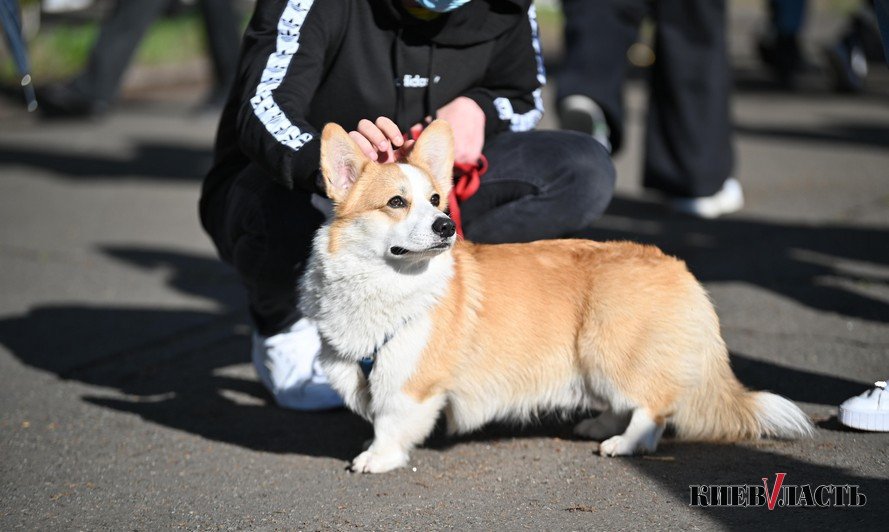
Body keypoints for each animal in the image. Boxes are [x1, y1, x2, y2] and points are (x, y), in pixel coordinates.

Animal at [300, 120, 812, 474]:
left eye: (436, 201)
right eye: (396, 202)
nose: (446, 226)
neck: (387, 281)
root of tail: (678, 268)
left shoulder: (411, 380)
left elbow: (390, 421)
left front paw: (376, 458)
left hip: (609, 352)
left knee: (654, 407)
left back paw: (623, 444)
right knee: (627, 402)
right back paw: (599, 426)